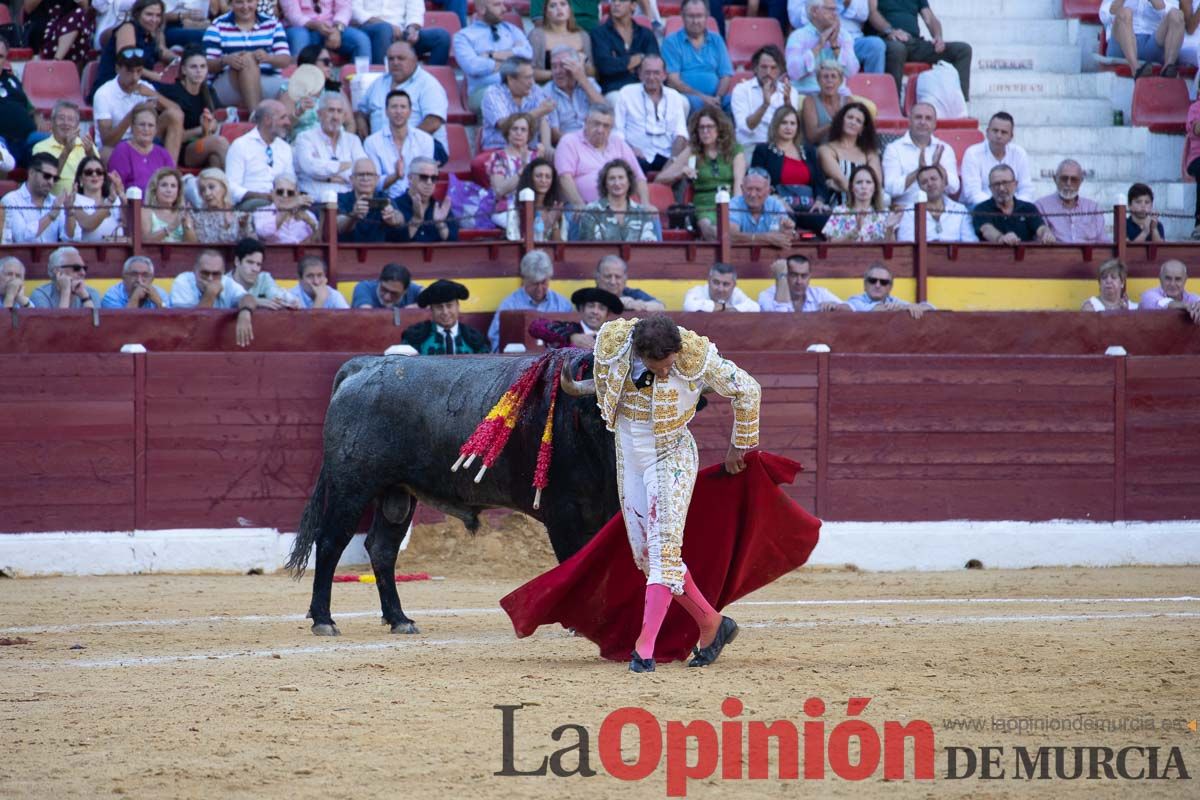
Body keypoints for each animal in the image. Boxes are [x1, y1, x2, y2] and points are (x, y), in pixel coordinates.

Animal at [285, 352, 614, 633]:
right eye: (603, 411)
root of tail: (363, 366)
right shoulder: (561, 514)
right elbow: (574, 562)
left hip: (396, 493)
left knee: (382, 548)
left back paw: (399, 619)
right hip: (352, 487)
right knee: (330, 542)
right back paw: (324, 620)